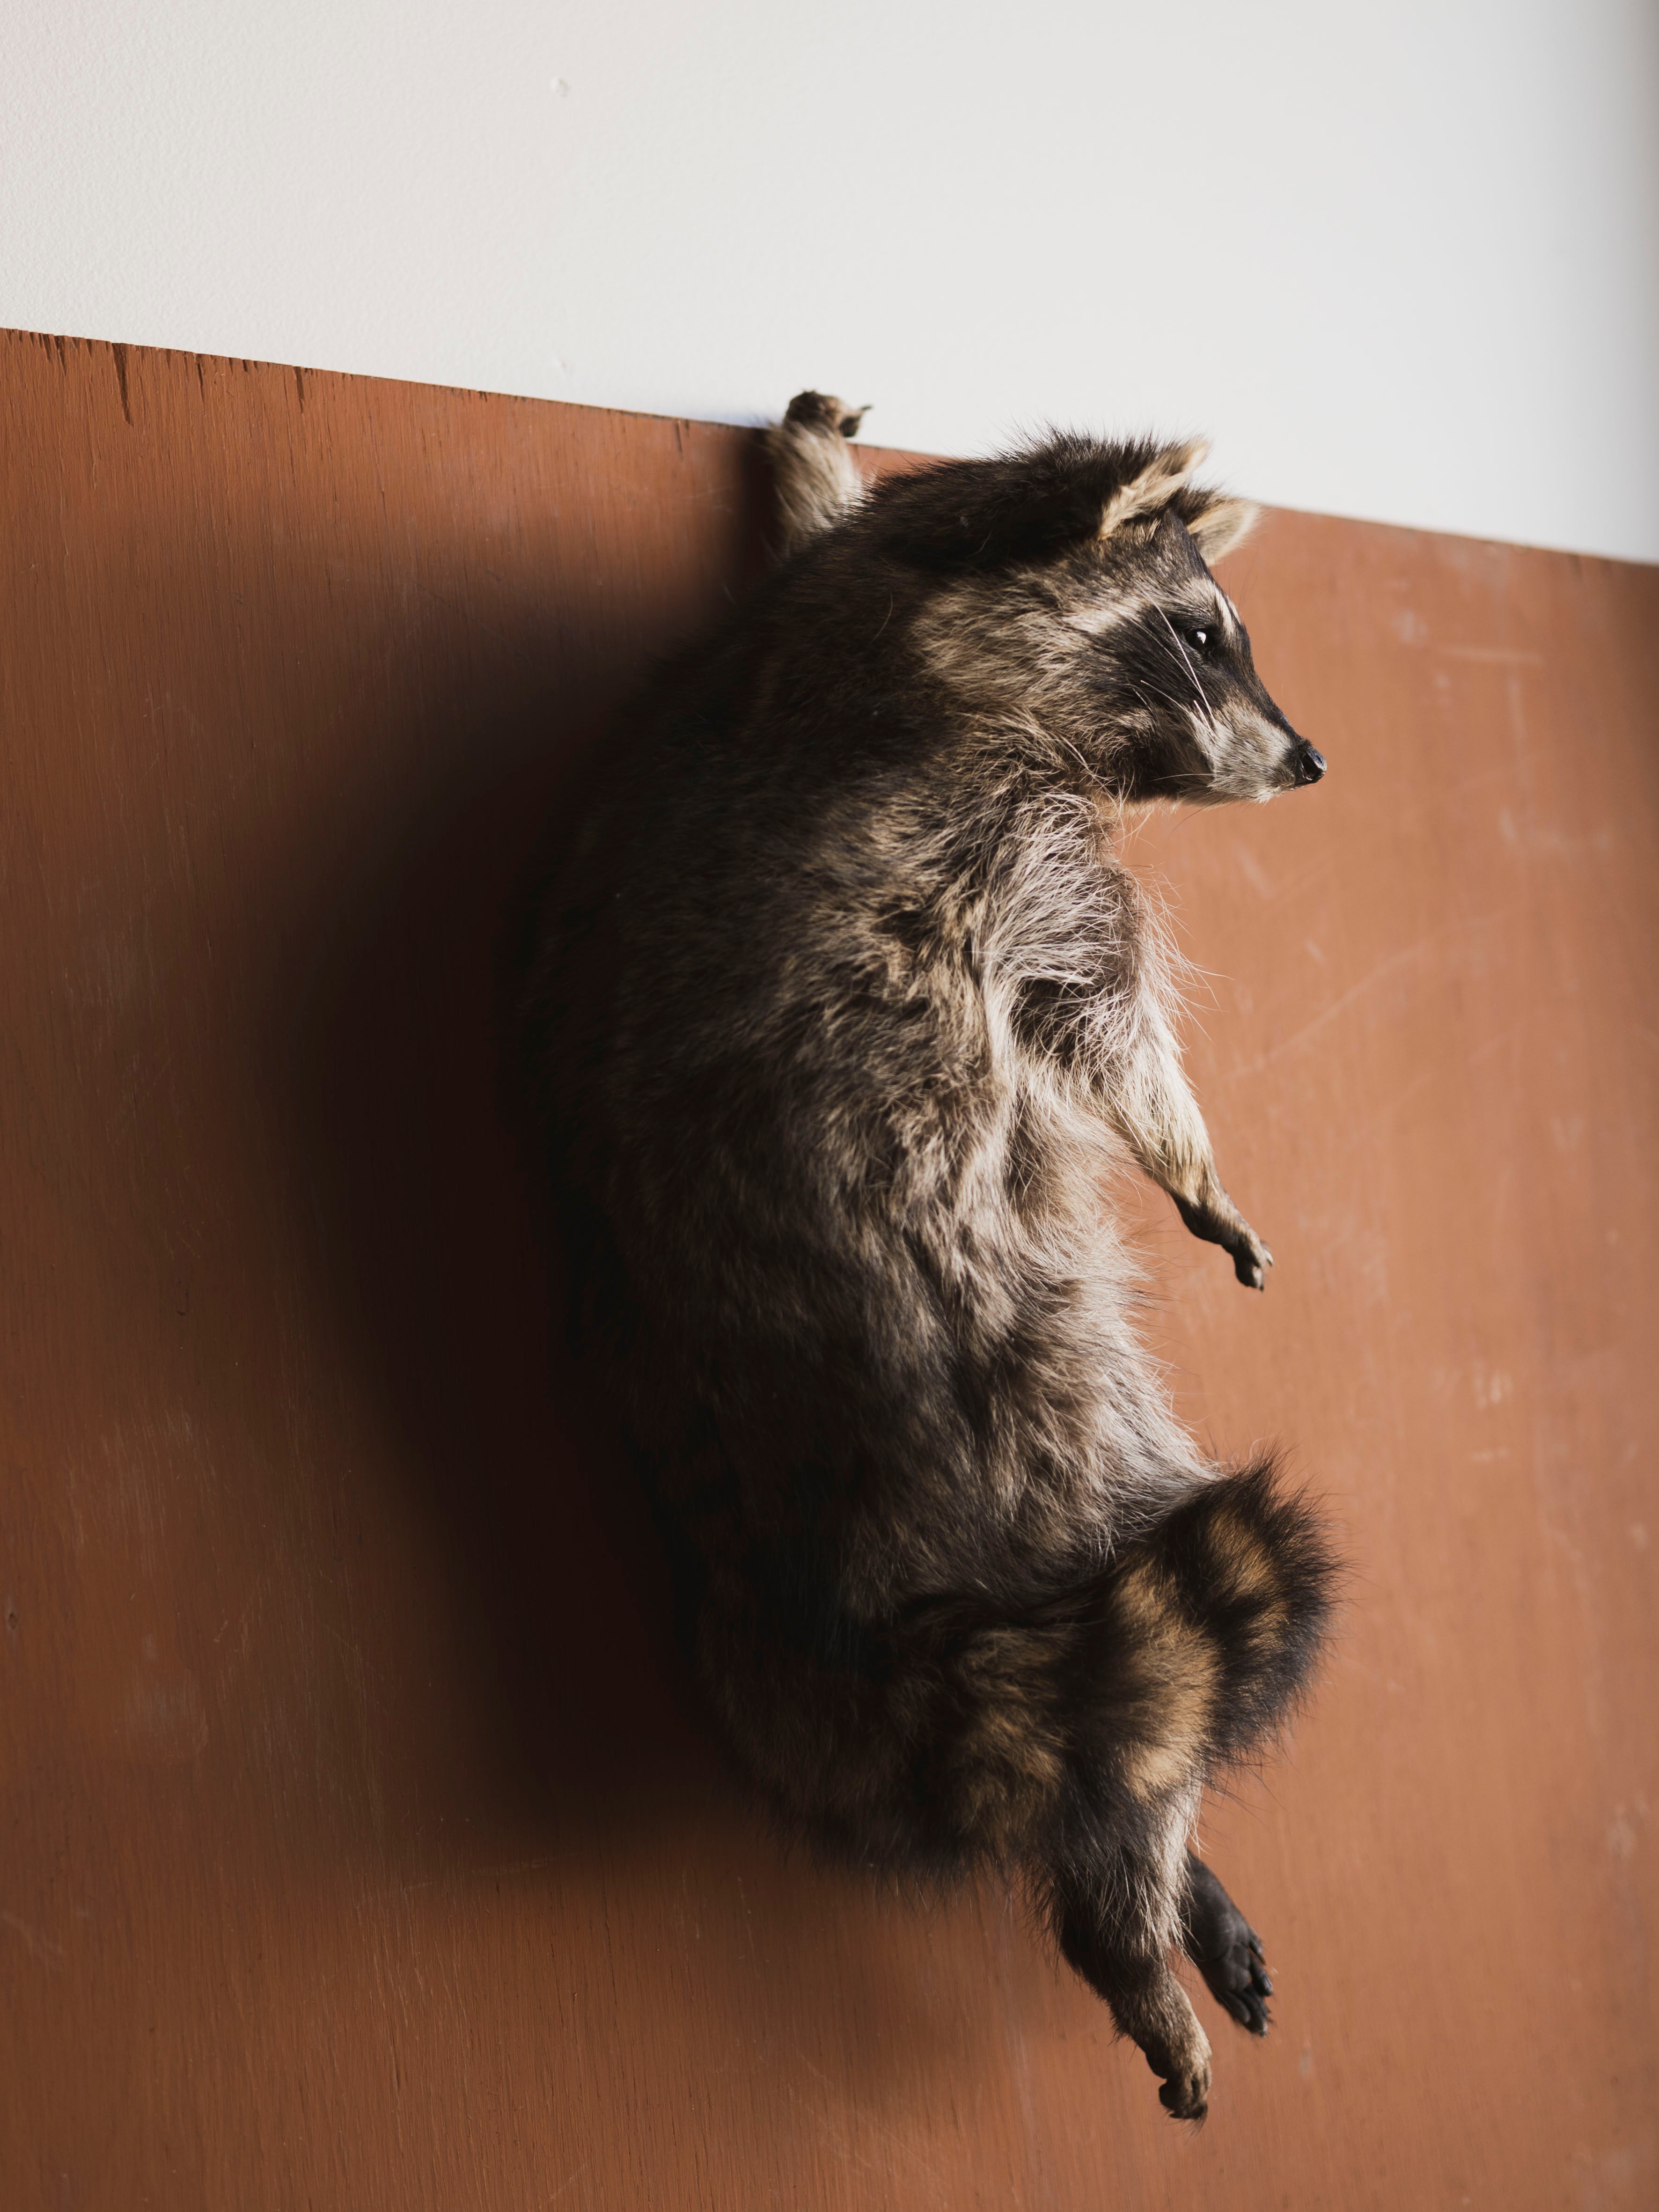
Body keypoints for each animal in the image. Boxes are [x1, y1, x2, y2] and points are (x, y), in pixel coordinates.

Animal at [526, 391, 1336, 2121]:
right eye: (1202, 635)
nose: (1311, 757)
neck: (851, 643)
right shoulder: (1000, 842)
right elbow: (1100, 1024)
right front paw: (1187, 1150)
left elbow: (817, 518)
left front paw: (805, 469)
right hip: (1043, 1409)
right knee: (1126, 1719)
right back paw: (1130, 1904)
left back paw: (1172, 1891)